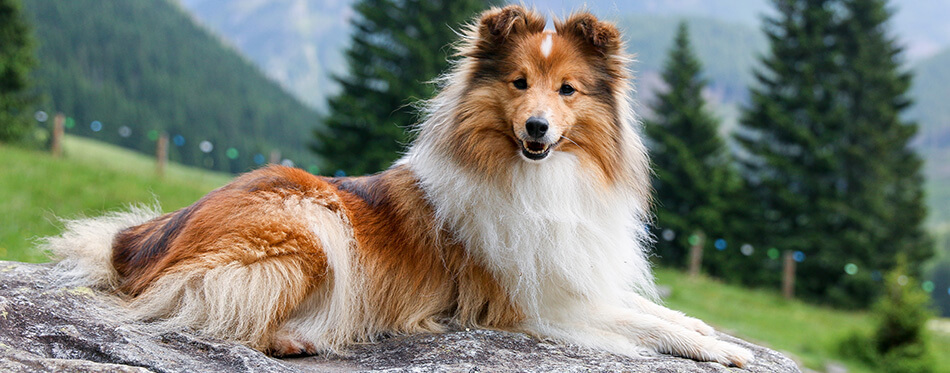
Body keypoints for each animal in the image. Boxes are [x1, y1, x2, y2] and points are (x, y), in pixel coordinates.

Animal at [46, 5, 752, 366]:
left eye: (569, 90)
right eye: (520, 83)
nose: (537, 128)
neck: (538, 178)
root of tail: (135, 242)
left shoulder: (573, 277)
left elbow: (648, 309)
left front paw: (703, 327)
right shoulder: (535, 305)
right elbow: (635, 323)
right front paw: (713, 349)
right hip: (311, 223)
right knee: (223, 314)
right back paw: (298, 337)